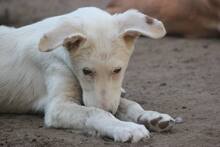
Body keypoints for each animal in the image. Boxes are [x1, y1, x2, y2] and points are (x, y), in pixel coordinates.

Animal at [0, 7, 175, 142]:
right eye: (86, 71)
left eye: (117, 70)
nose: (110, 111)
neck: (63, 53)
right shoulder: (57, 107)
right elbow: (95, 112)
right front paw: (126, 127)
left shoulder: (108, 96)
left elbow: (128, 104)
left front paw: (150, 117)